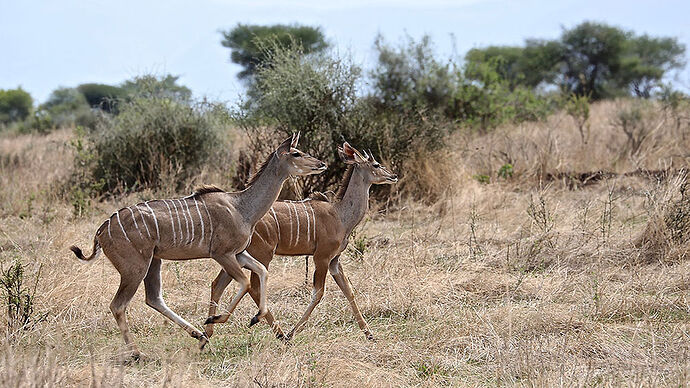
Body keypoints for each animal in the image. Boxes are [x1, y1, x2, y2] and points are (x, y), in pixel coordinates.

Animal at [68, 134, 326, 360]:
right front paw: (215, 319)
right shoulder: (222, 254)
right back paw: (139, 353)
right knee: (118, 305)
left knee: (153, 298)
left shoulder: (239, 253)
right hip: (135, 267)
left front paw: (254, 318)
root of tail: (102, 230)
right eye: (296, 153)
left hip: (153, 261)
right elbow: (244, 282)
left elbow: (261, 272)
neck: (242, 207)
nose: (321, 164)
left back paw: (197, 334)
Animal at [204, 142, 396, 340]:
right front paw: (292, 332)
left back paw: (207, 332)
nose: (393, 176)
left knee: (218, 284)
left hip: (235, 256)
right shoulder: (322, 257)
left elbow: (348, 290)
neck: (340, 215)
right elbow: (318, 293)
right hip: (263, 254)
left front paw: (369, 334)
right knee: (253, 288)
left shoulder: (335, 260)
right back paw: (279, 333)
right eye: (375, 164)